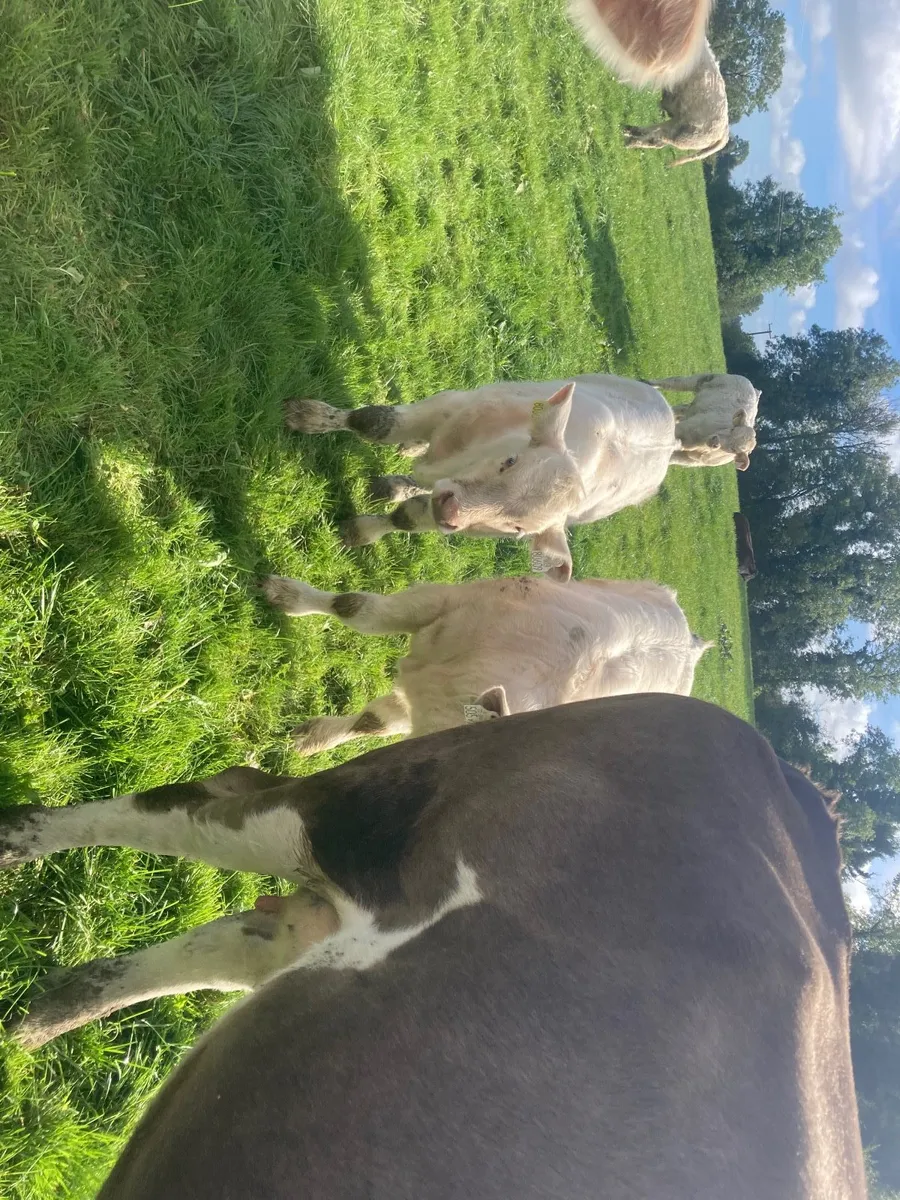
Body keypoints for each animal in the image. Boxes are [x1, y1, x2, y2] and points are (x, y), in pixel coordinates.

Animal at [260, 572, 712, 753]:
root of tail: (693, 643)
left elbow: (372, 722)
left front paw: (309, 740)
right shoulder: (444, 599)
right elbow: (355, 608)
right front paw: (285, 595)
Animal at [284, 375, 682, 581]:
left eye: (518, 529)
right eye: (510, 460)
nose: (451, 511)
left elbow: (406, 519)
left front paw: (360, 532)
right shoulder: (448, 405)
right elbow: (373, 422)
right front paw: (308, 416)